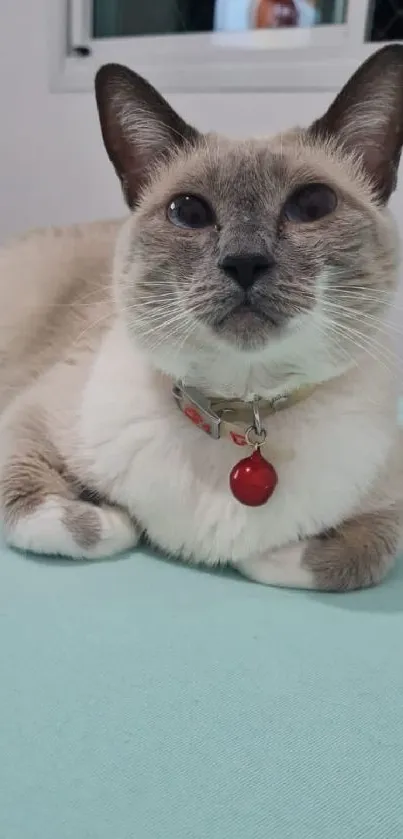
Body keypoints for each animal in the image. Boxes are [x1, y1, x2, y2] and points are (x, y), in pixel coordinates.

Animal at [0, 44, 403, 592]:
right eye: (188, 212)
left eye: (313, 205)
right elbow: (60, 519)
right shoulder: (26, 420)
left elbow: (353, 557)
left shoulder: (391, 501)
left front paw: (268, 554)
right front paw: (115, 519)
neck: (243, 415)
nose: (245, 262)